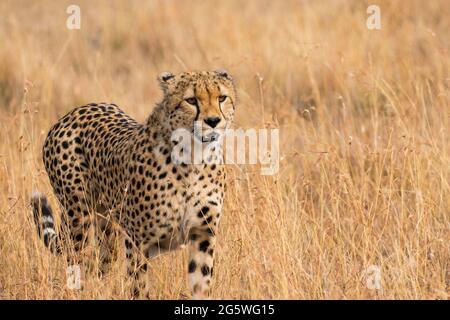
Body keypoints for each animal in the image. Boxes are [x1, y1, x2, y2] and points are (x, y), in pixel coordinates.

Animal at [30, 70, 236, 300]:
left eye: (221, 98)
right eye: (191, 100)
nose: (213, 120)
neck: (193, 156)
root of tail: (75, 111)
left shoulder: (202, 234)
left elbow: (201, 283)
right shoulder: (137, 241)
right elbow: (139, 285)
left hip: (107, 228)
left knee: (100, 264)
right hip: (78, 218)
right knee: (77, 261)